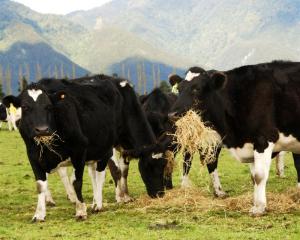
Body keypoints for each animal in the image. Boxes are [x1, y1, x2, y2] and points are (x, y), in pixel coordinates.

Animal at [2, 77, 166, 221]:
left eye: (48, 107)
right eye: (25, 107)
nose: (160, 194)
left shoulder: (82, 151)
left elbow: (82, 180)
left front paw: (83, 209)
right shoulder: (33, 155)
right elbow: (41, 184)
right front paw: (39, 214)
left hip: (101, 146)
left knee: (98, 174)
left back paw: (96, 203)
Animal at [170, 60, 300, 216]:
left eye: (197, 88)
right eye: (179, 89)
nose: (172, 114)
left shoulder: (263, 139)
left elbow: (259, 176)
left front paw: (259, 208)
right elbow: (253, 176)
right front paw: (256, 204)